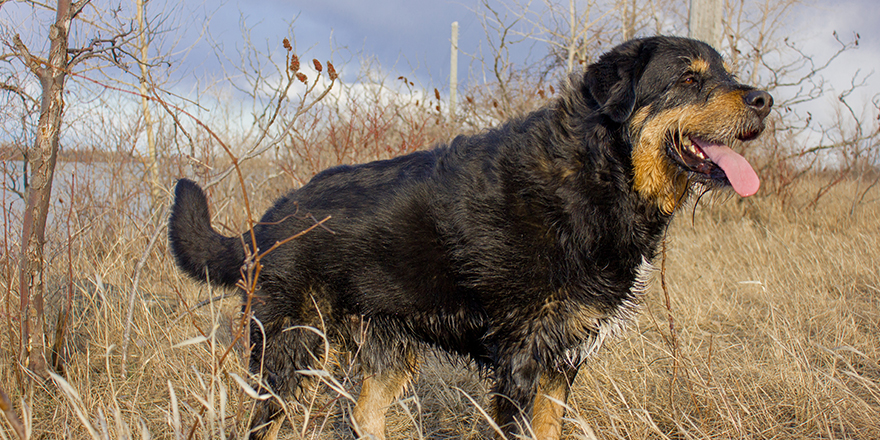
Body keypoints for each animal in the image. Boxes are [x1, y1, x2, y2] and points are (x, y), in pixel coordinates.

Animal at [170, 36, 768, 438]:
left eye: (725, 72)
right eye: (688, 79)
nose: (764, 100)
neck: (596, 174)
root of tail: (265, 222)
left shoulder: (561, 360)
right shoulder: (522, 359)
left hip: (387, 353)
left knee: (364, 417)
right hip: (287, 354)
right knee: (265, 423)